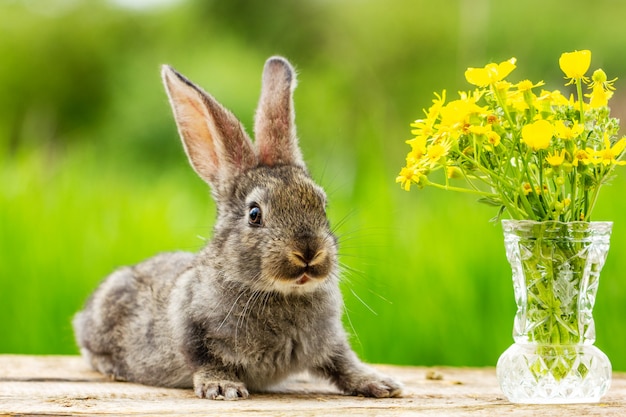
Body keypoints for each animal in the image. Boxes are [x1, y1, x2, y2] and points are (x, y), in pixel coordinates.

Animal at [73, 57, 402, 398]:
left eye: (322, 205)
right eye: (254, 214)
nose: (308, 251)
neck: (278, 293)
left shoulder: (330, 341)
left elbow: (343, 362)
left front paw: (380, 384)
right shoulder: (191, 328)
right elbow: (206, 359)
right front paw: (223, 387)